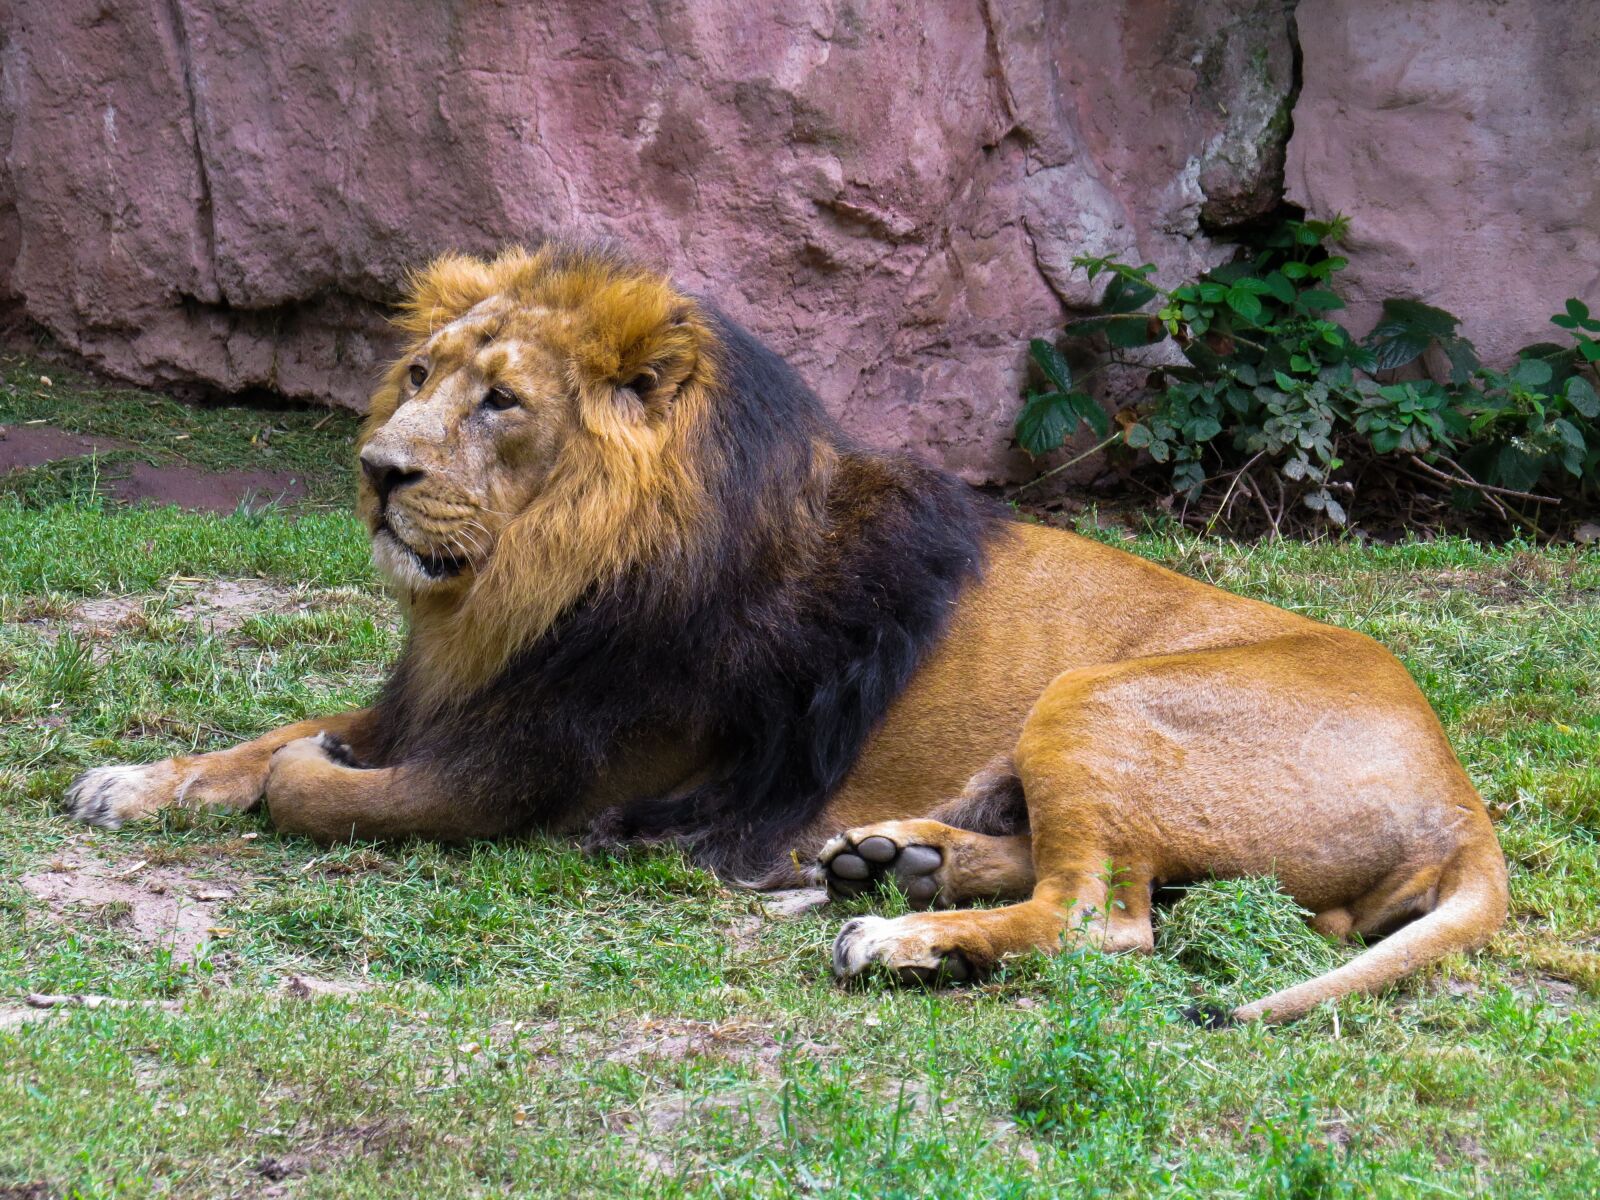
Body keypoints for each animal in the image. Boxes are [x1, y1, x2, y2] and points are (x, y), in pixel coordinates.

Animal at [65, 241, 1510, 1024]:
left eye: (501, 402)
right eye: (417, 376)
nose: (377, 470)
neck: (526, 579)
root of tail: (1460, 798)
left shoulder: (528, 772)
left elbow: (315, 789)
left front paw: (297, 777)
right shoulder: (444, 697)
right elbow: (262, 738)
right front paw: (134, 779)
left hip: (1096, 695)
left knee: (1105, 918)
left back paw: (894, 936)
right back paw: (892, 861)